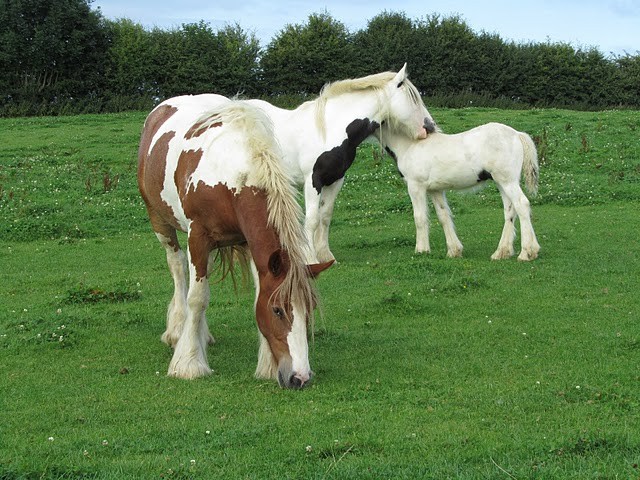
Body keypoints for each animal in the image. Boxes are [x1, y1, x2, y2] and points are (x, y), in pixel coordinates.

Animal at [138, 98, 332, 390]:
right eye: (277, 310)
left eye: (309, 308)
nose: (300, 377)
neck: (233, 176)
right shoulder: (198, 236)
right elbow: (197, 298)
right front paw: (189, 363)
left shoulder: (250, 245)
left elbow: (253, 294)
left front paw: (267, 365)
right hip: (160, 222)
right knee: (178, 268)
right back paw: (178, 330)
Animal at [158, 63, 432, 262]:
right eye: (413, 98)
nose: (429, 127)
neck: (329, 128)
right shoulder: (313, 180)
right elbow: (311, 219)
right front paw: (311, 258)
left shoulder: (336, 180)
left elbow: (325, 216)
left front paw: (326, 256)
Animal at [380, 122, 540, 260]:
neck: (410, 145)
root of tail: (517, 134)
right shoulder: (435, 190)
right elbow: (443, 215)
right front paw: (454, 251)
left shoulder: (415, 186)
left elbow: (419, 217)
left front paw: (421, 250)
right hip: (502, 183)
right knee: (510, 210)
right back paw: (502, 252)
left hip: (508, 181)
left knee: (522, 204)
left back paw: (526, 253)